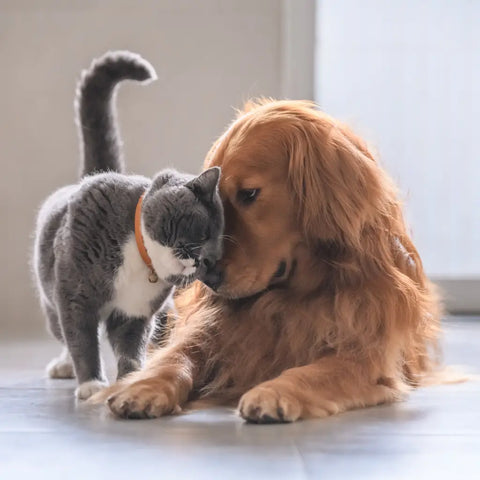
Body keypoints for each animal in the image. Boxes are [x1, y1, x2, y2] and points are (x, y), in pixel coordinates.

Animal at [32, 50, 224, 400]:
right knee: (62, 332)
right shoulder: (75, 296)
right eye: (203, 233)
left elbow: (130, 347)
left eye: (214, 257)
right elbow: (81, 339)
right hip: (50, 296)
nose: (201, 261)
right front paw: (91, 383)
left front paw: (131, 379)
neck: (139, 257)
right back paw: (64, 366)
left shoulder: (136, 313)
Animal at [94, 99, 442, 422]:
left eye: (249, 194)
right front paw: (142, 387)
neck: (292, 296)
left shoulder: (366, 355)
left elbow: (316, 371)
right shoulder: (210, 331)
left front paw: (274, 392)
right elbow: (175, 357)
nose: (207, 278)